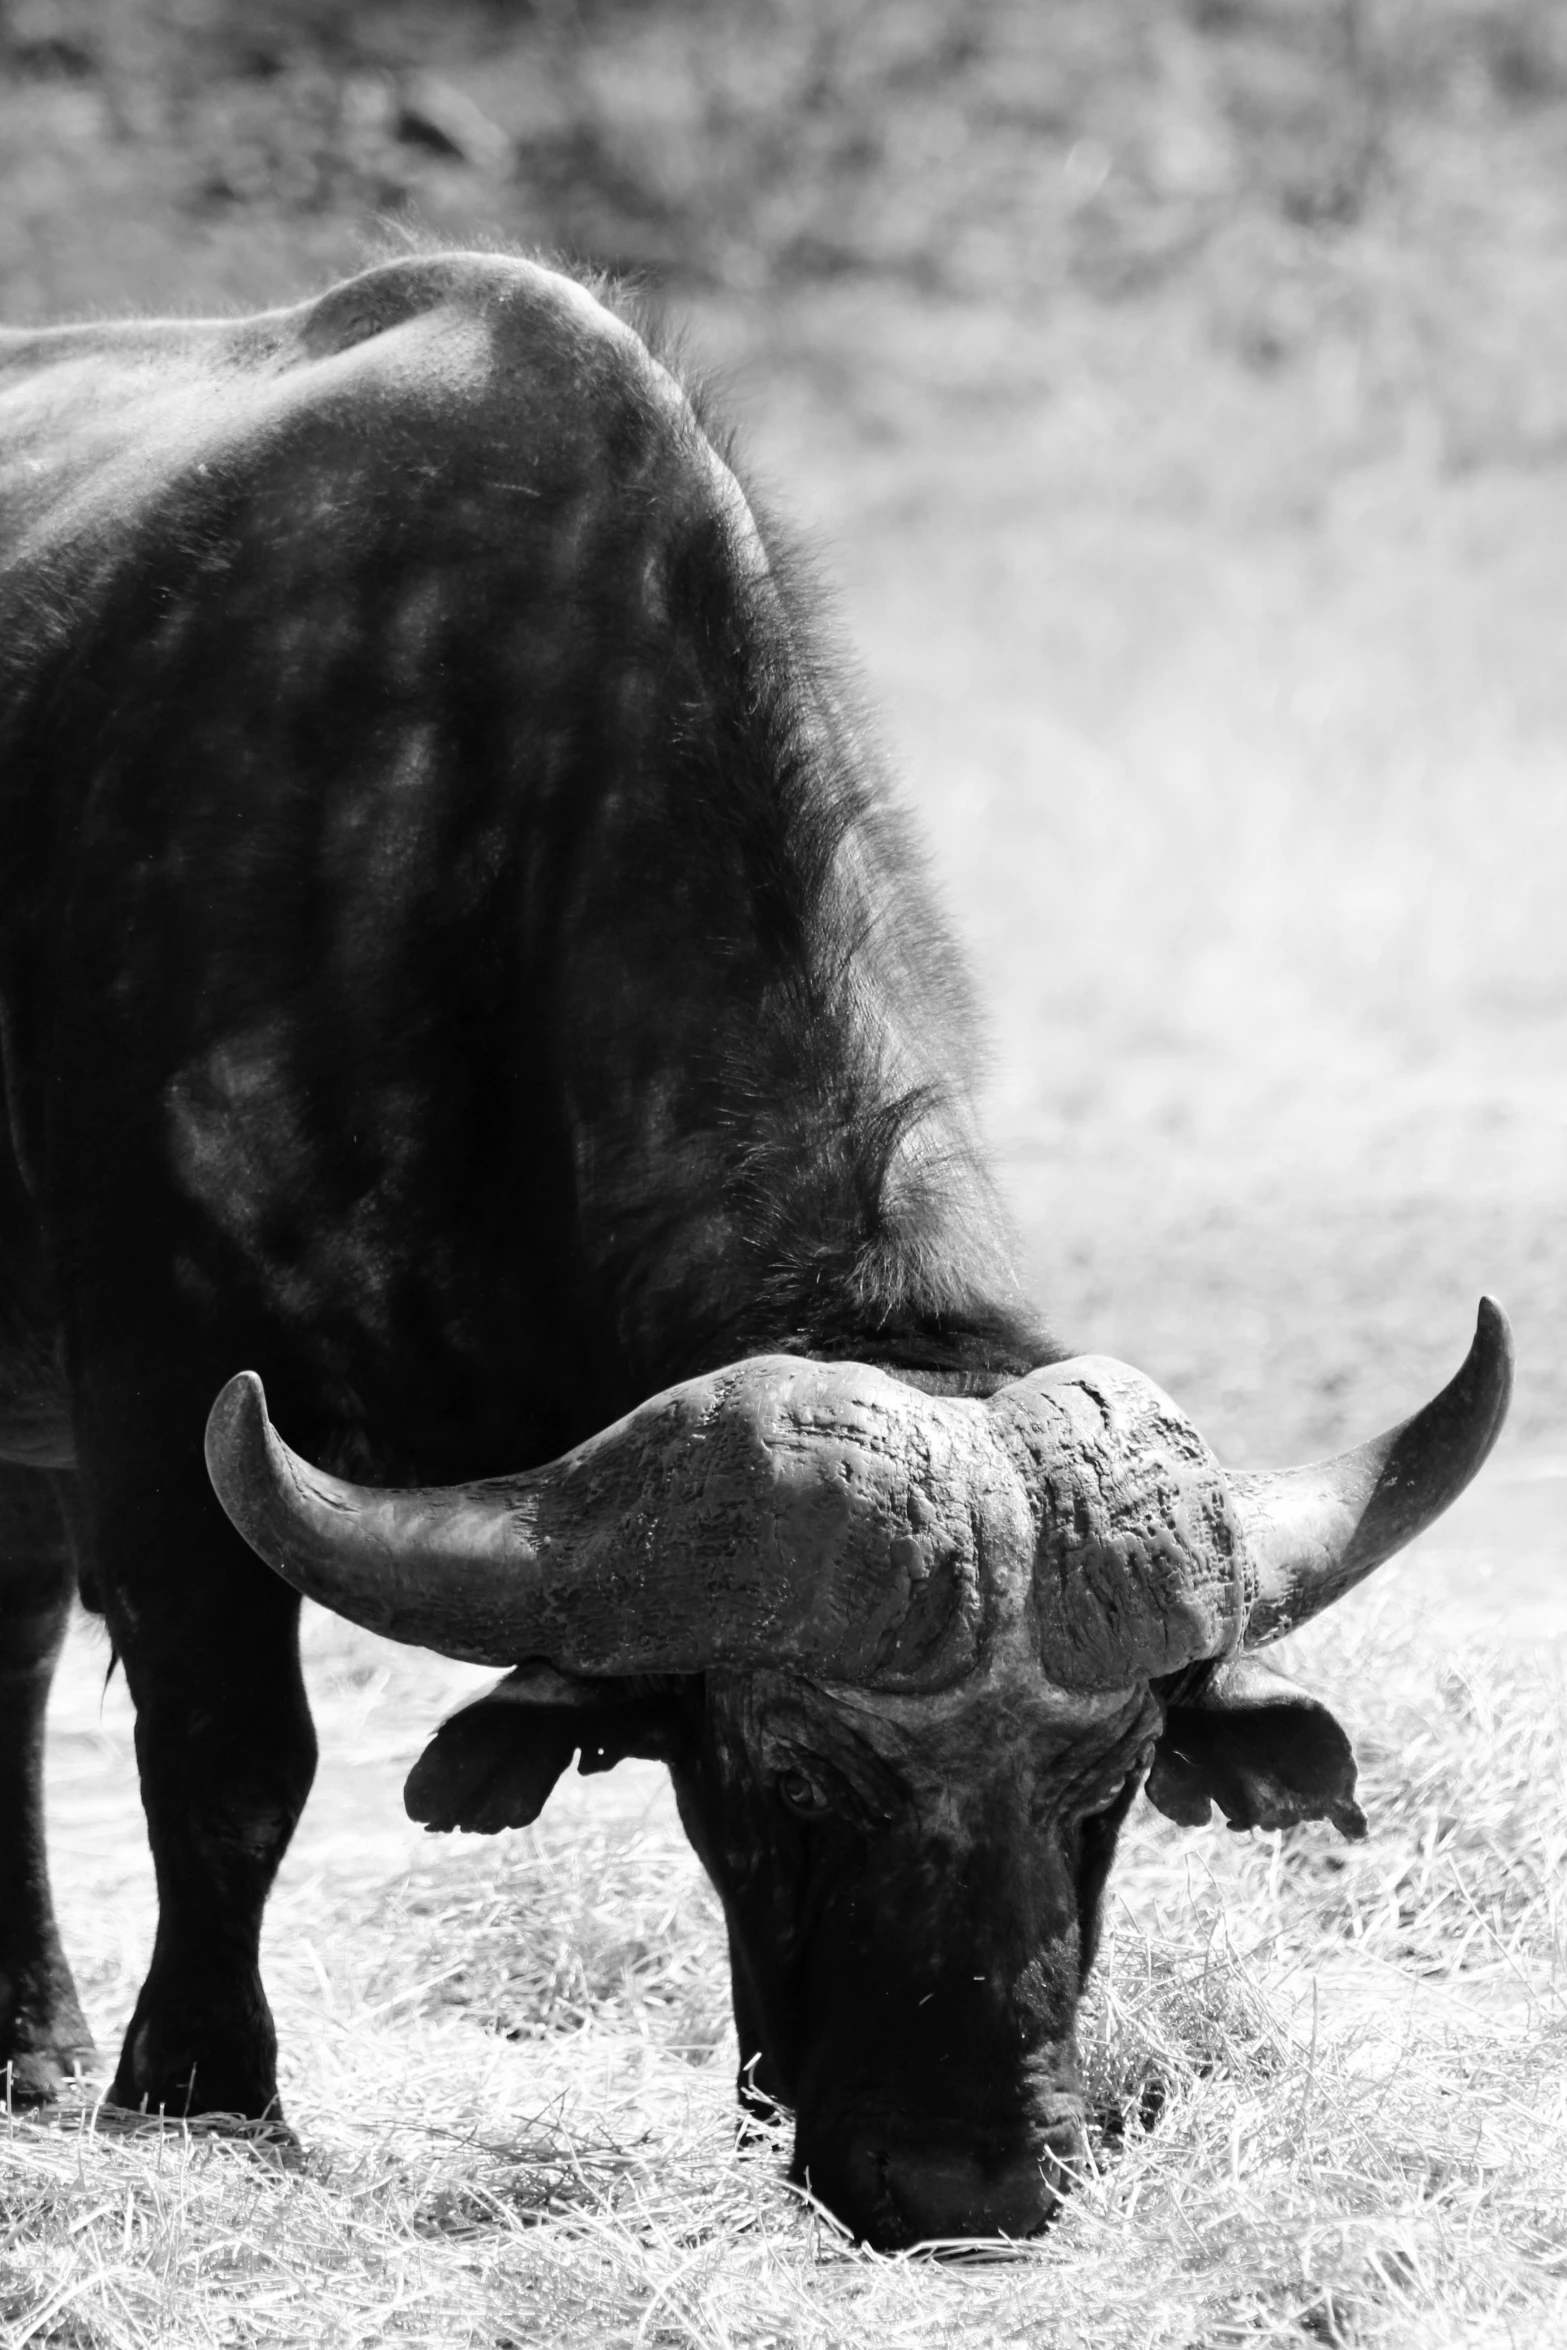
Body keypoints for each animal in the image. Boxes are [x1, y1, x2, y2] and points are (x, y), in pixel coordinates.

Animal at [3, 247, 1522, 2246]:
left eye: (1108, 1777)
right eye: (790, 1773)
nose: (966, 2175)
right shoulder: (155, 1388)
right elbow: (232, 1755)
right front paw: (201, 2101)